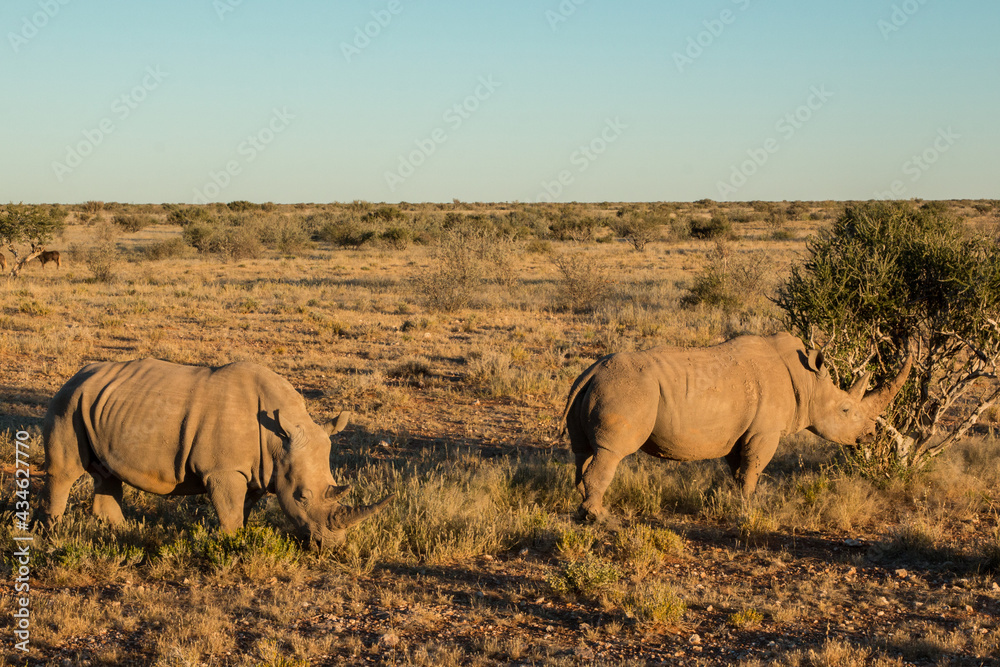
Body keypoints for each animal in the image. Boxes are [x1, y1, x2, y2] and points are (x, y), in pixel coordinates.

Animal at [40, 359, 392, 548]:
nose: (331, 545)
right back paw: (53, 536)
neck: (280, 436)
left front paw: (238, 539)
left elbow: (242, 509)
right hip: (68, 402)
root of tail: (76, 375)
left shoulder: (257, 470)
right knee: (65, 471)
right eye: (302, 497)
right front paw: (231, 545)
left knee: (107, 471)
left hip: (99, 405)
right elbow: (230, 511)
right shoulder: (224, 470)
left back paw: (126, 535)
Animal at [562, 333, 912, 524]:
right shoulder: (764, 432)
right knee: (611, 452)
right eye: (846, 410)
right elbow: (752, 469)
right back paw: (598, 517)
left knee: (582, 451)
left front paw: (733, 501)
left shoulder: (739, 431)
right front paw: (747, 509)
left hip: (597, 387)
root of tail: (590, 372)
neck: (809, 382)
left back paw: (582, 506)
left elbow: (737, 468)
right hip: (627, 390)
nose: (869, 436)